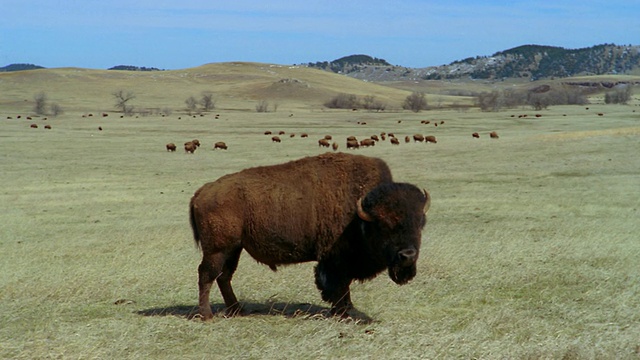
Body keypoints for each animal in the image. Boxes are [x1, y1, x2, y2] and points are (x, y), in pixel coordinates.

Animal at [190, 152, 430, 318]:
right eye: (385, 225)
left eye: (420, 223)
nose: (408, 256)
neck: (360, 210)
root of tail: (203, 191)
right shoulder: (335, 260)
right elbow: (339, 285)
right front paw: (344, 312)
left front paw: (345, 309)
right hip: (217, 249)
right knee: (207, 275)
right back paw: (207, 315)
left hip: (234, 248)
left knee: (224, 276)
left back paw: (236, 310)